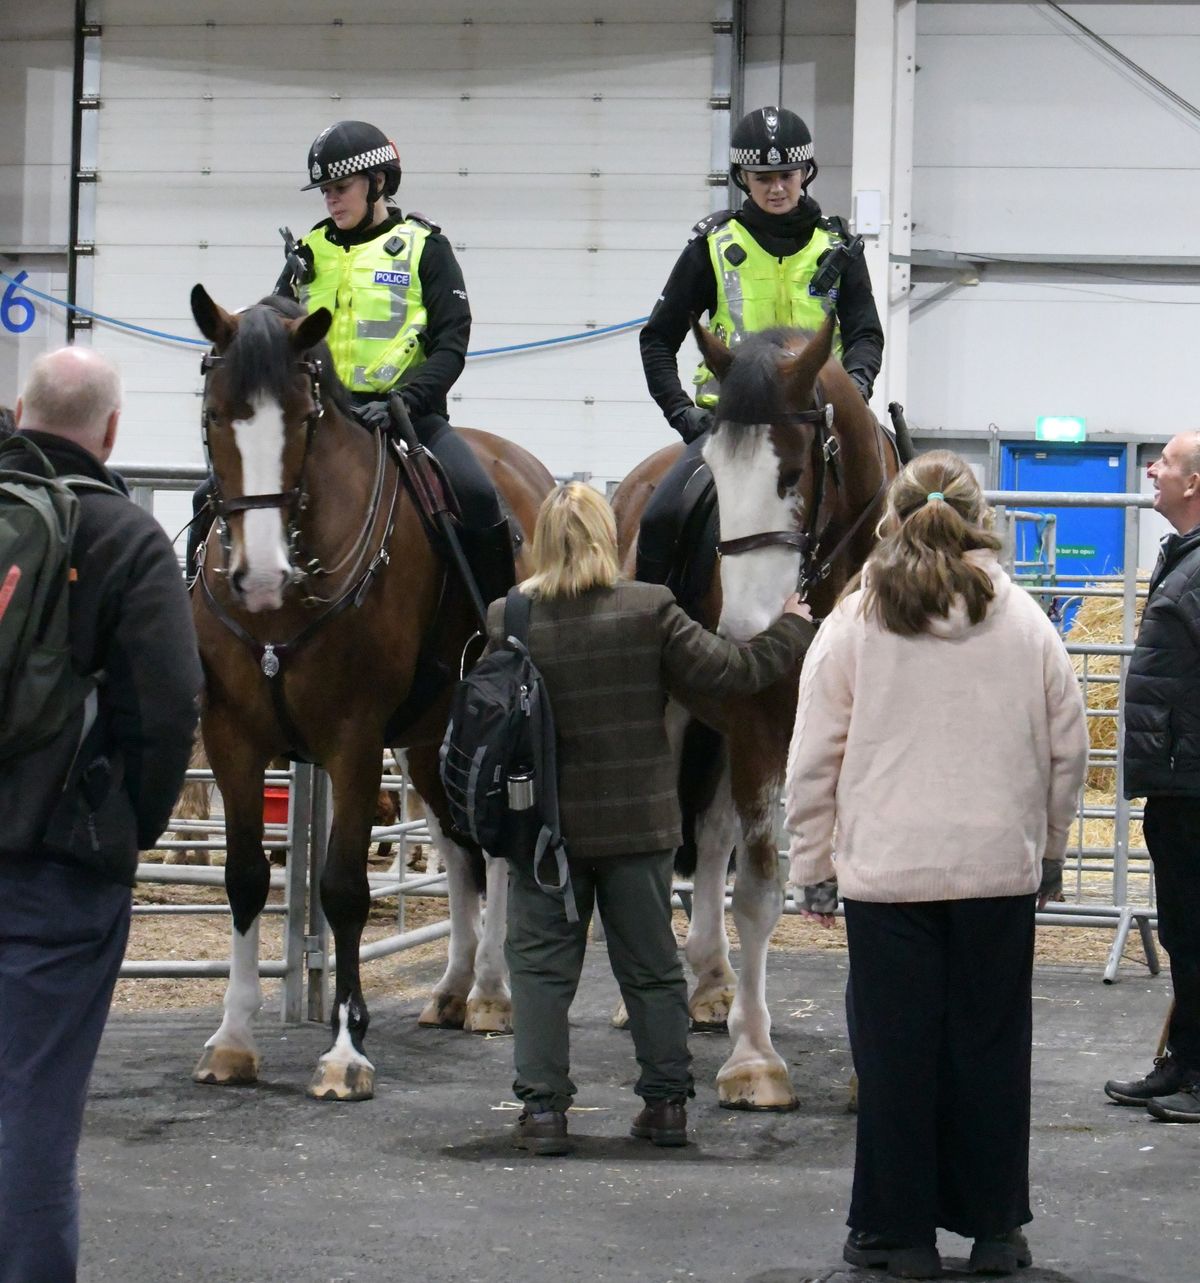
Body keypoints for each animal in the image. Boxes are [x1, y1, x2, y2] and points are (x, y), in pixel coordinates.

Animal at [189, 291, 557, 1103]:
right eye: (215, 413)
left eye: (304, 418)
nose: (261, 576)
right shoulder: (231, 738)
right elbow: (244, 878)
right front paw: (231, 1039)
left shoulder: (352, 741)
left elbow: (343, 888)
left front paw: (344, 1050)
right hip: (428, 742)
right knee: (457, 849)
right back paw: (451, 989)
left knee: (494, 851)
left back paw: (490, 993)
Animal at [613, 315, 898, 1108]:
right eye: (716, 472)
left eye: (791, 474)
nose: (740, 630)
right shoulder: (756, 731)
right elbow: (761, 893)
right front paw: (755, 1061)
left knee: (710, 838)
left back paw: (712, 982)